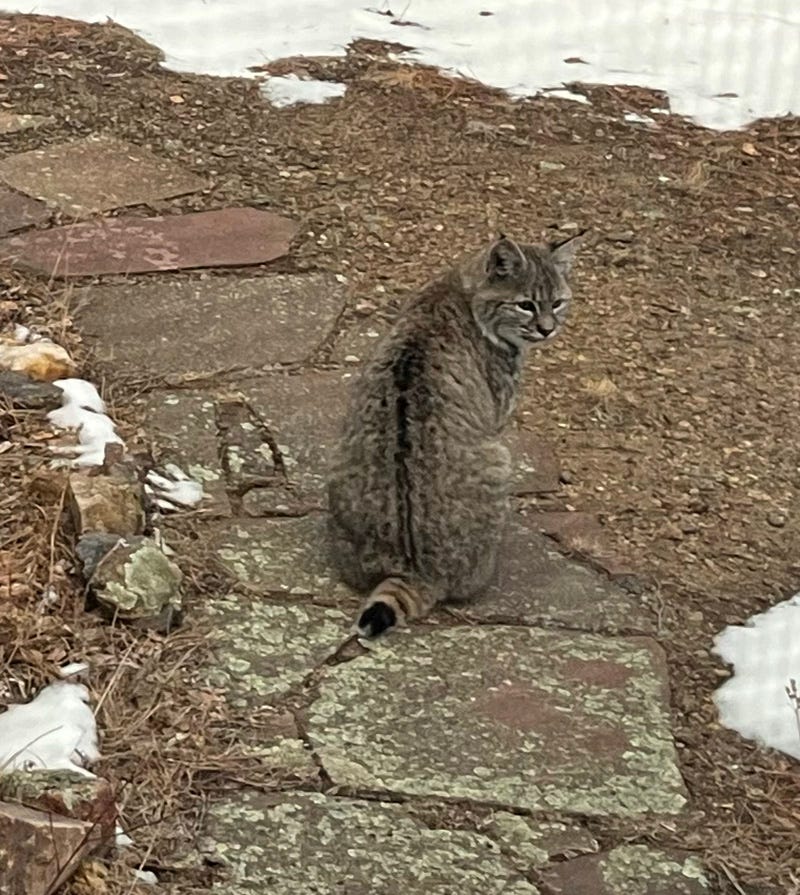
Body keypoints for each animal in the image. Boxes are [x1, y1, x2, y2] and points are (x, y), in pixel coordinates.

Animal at [327, 232, 582, 638]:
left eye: (557, 302)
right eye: (525, 305)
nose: (548, 328)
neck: (462, 287)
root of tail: (412, 571)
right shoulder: (498, 417)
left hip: (338, 452)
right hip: (499, 457)